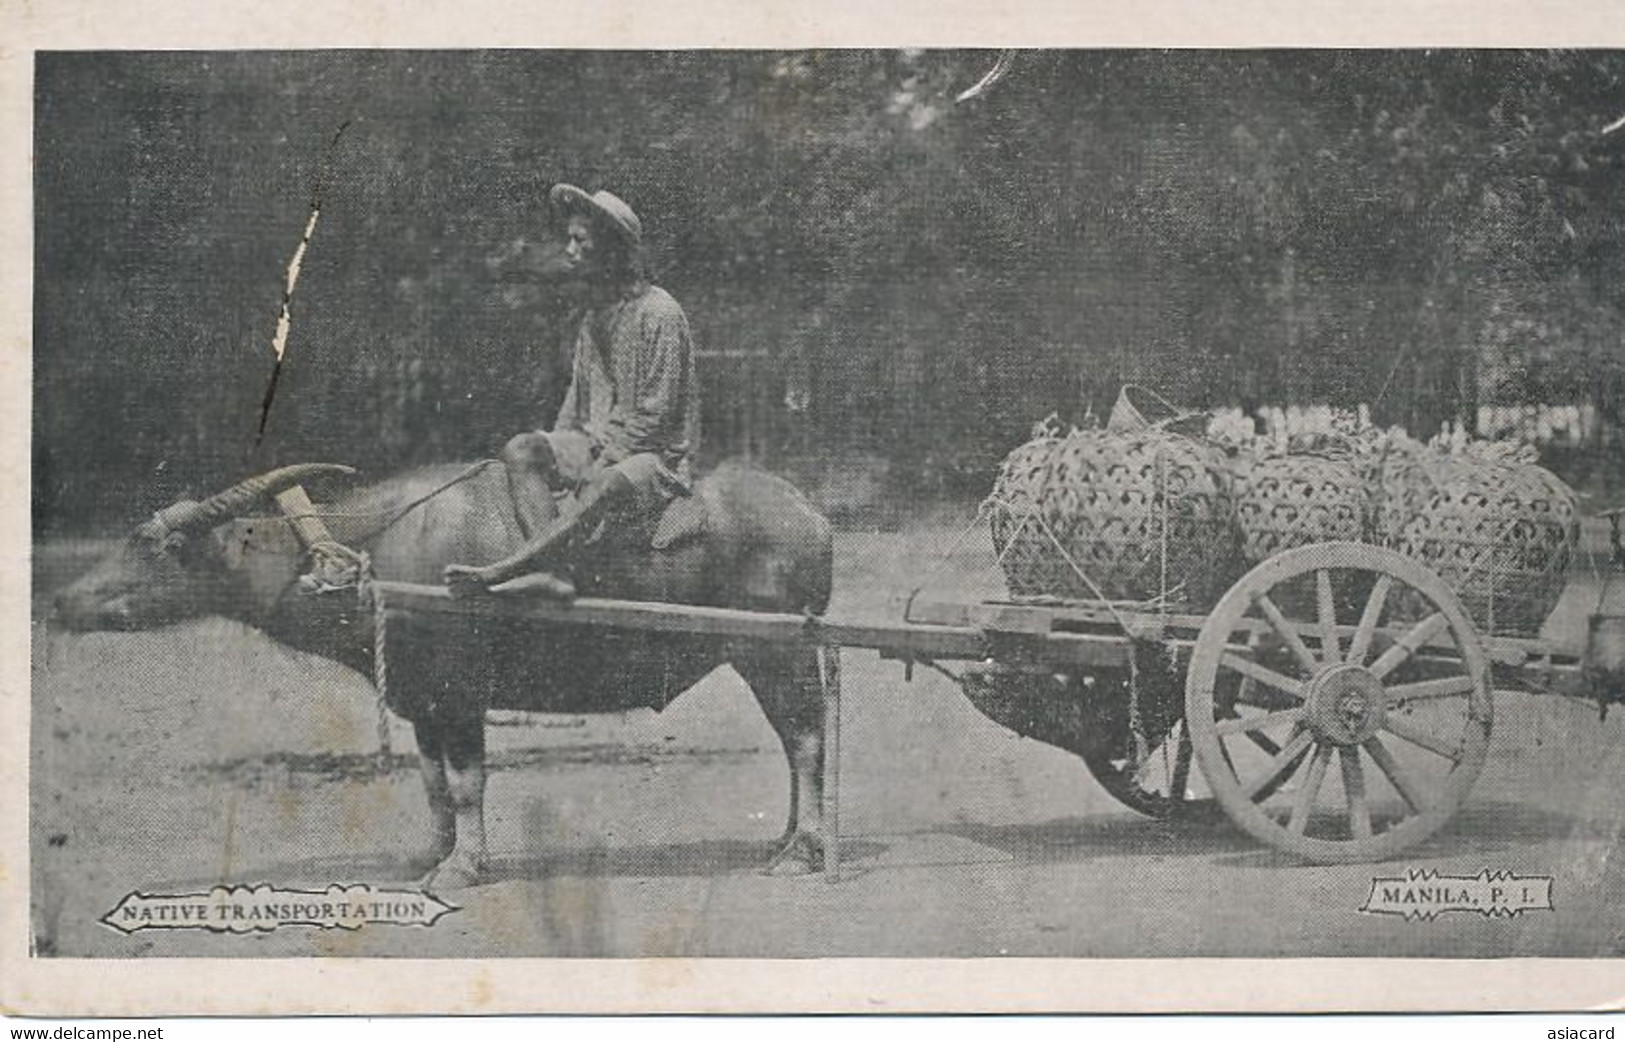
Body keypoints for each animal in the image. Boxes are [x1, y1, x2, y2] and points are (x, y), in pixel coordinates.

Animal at [50, 461, 838, 884]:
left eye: (160, 546)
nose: (60, 599)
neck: (370, 561)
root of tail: (812, 513)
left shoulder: (459, 694)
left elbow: (465, 784)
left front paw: (464, 865)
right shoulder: (421, 699)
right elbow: (430, 784)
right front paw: (430, 853)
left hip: (776, 652)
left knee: (806, 741)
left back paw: (801, 852)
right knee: (796, 743)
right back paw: (787, 839)